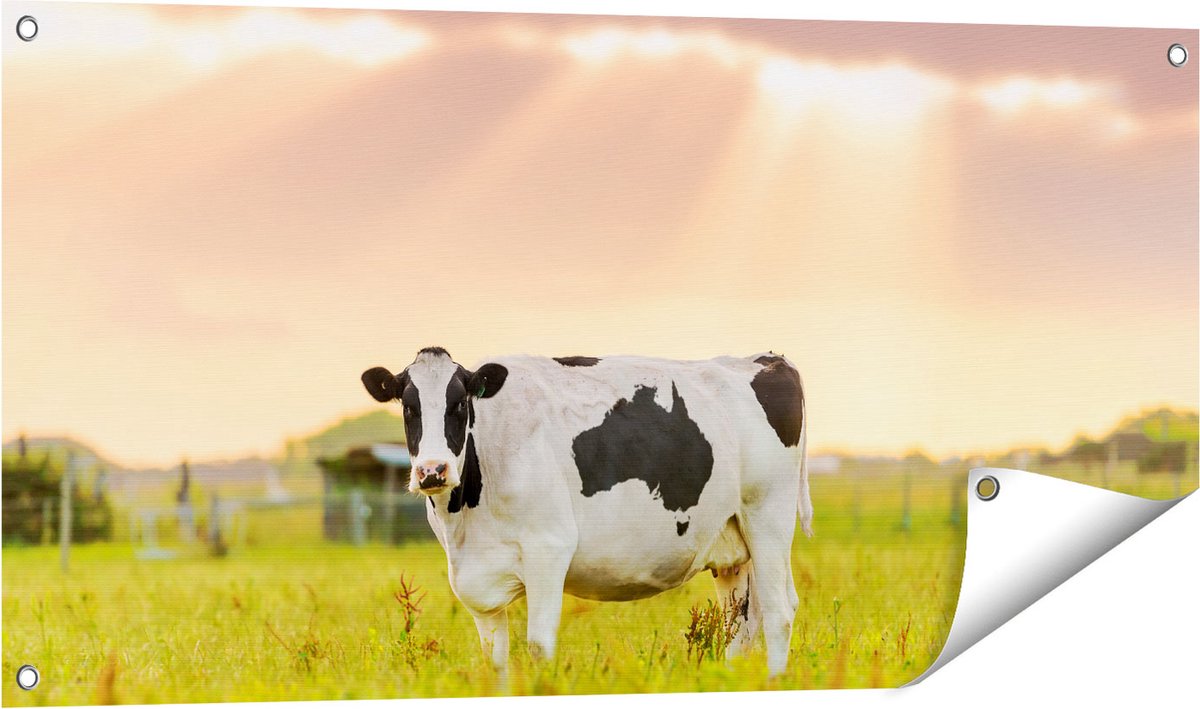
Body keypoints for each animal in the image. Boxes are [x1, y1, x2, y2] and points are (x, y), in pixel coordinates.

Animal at [361, 347, 812, 676]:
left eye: (459, 405)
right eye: (408, 408)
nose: (432, 471)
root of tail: (767, 359)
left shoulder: (548, 549)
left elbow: (539, 646)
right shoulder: (477, 580)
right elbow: (495, 660)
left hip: (768, 517)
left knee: (778, 612)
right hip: (732, 541)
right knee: (743, 620)